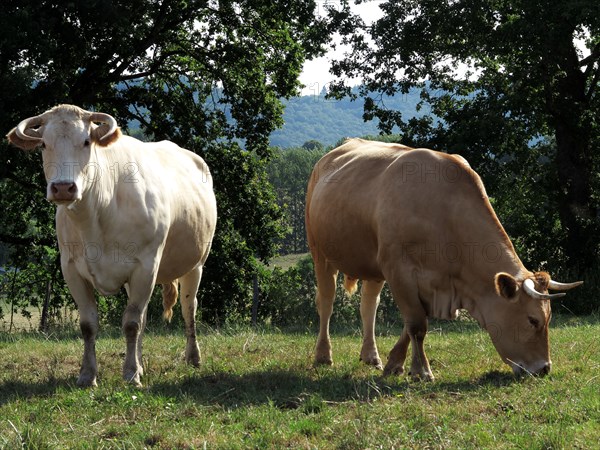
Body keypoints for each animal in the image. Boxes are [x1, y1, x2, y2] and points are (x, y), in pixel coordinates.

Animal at [7, 104, 218, 386]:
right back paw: (141, 364)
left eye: (86, 141)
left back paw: (193, 357)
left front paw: (130, 375)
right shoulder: (71, 269)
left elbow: (131, 324)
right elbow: (90, 325)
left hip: (196, 264)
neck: (97, 213)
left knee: (188, 307)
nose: (63, 188)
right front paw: (88, 375)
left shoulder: (146, 266)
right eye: (43, 144)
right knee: (145, 316)